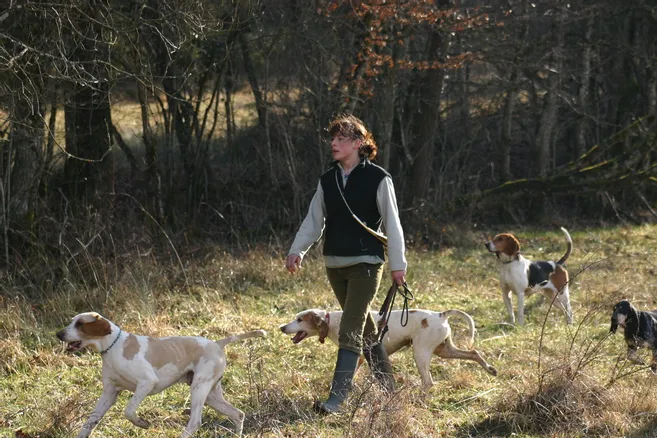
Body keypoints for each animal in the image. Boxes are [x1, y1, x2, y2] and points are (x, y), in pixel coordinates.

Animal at [54, 312, 264, 438]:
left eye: (80, 324)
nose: (58, 334)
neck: (113, 347)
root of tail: (217, 343)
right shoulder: (109, 393)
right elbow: (90, 422)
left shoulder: (146, 383)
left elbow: (129, 411)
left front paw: (142, 423)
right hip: (211, 395)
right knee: (238, 414)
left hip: (199, 389)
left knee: (195, 422)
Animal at [278, 308, 498, 390]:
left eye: (300, 320)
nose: (282, 327)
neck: (333, 321)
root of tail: (440, 314)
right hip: (444, 351)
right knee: (474, 353)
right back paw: (490, 369)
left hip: (421, 353)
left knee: (428, 382)